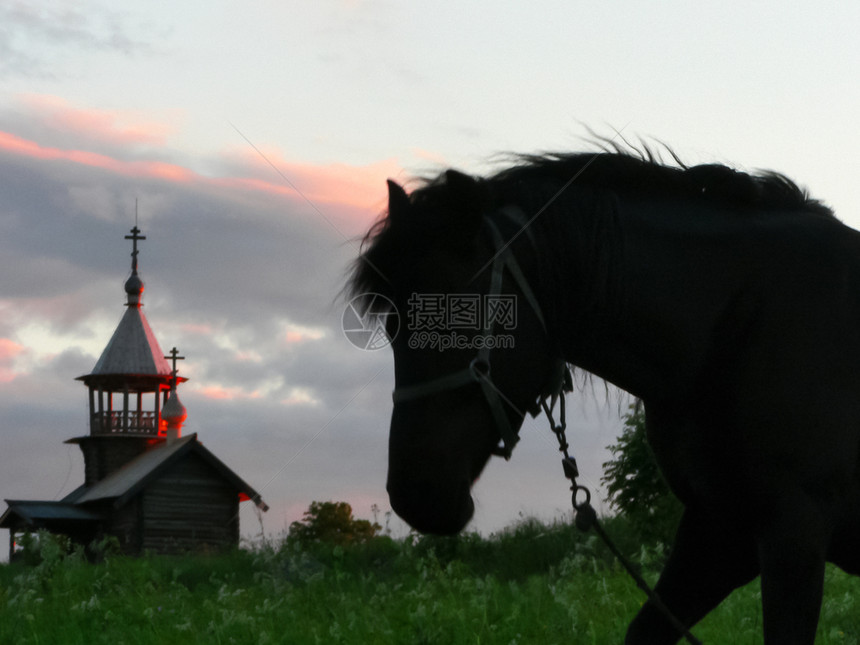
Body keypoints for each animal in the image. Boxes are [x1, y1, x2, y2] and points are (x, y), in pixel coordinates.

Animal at [346, 146, 860, 644]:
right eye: (392, 326)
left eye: (461, 314)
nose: (414, 496)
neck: (748, 327)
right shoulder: (718, 529)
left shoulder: (793, 532)